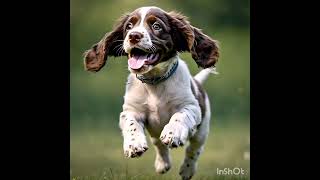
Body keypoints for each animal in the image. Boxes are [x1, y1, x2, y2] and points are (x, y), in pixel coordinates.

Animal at [84, 6, 219, 179]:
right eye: (129, 26)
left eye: (156, 26)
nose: (134, 36)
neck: (154, 82)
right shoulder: (130, 110)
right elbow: (131, 123)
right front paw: (134, 144)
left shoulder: (191, 107)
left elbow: (179, 116)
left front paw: (172, 133)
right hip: (155, 131)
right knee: (159, 145)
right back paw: (163, 164)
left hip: (202, 130)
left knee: (194, 149)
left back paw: (187, 170)